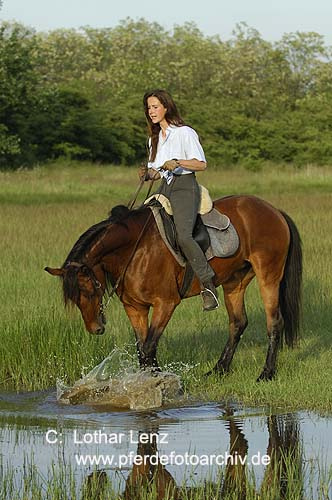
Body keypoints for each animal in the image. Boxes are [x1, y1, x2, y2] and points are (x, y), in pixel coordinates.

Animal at [45, 195, 302, 378]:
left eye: (91, 290)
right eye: (75, 298)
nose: (95, 329)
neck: (134, 250)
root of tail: (274, 211)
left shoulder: (165, 304)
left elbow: (149, 347)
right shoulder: (135, 308)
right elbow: (142, 348)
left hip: (268, 276)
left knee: (274, 322)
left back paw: (266, 373)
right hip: (235, 281)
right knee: (238, 323)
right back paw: (219, 370)